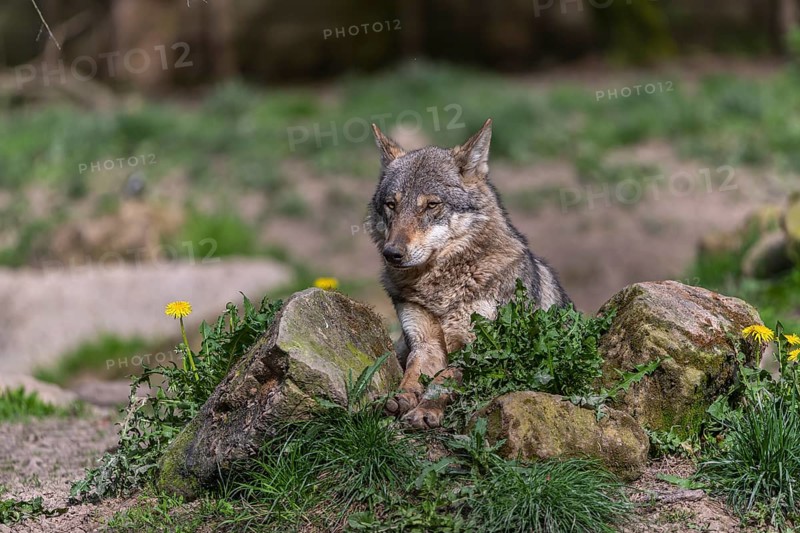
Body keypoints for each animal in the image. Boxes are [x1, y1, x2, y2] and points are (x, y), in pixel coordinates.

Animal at [367, 119, 571, 429]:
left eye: (431, 205)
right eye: (392, 205)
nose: (392, 254)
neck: (440, 291)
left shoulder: (479, 348)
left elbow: (444, 380)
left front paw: (426, 410)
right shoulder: (424, 343)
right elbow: (413, 375)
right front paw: (400, 398)